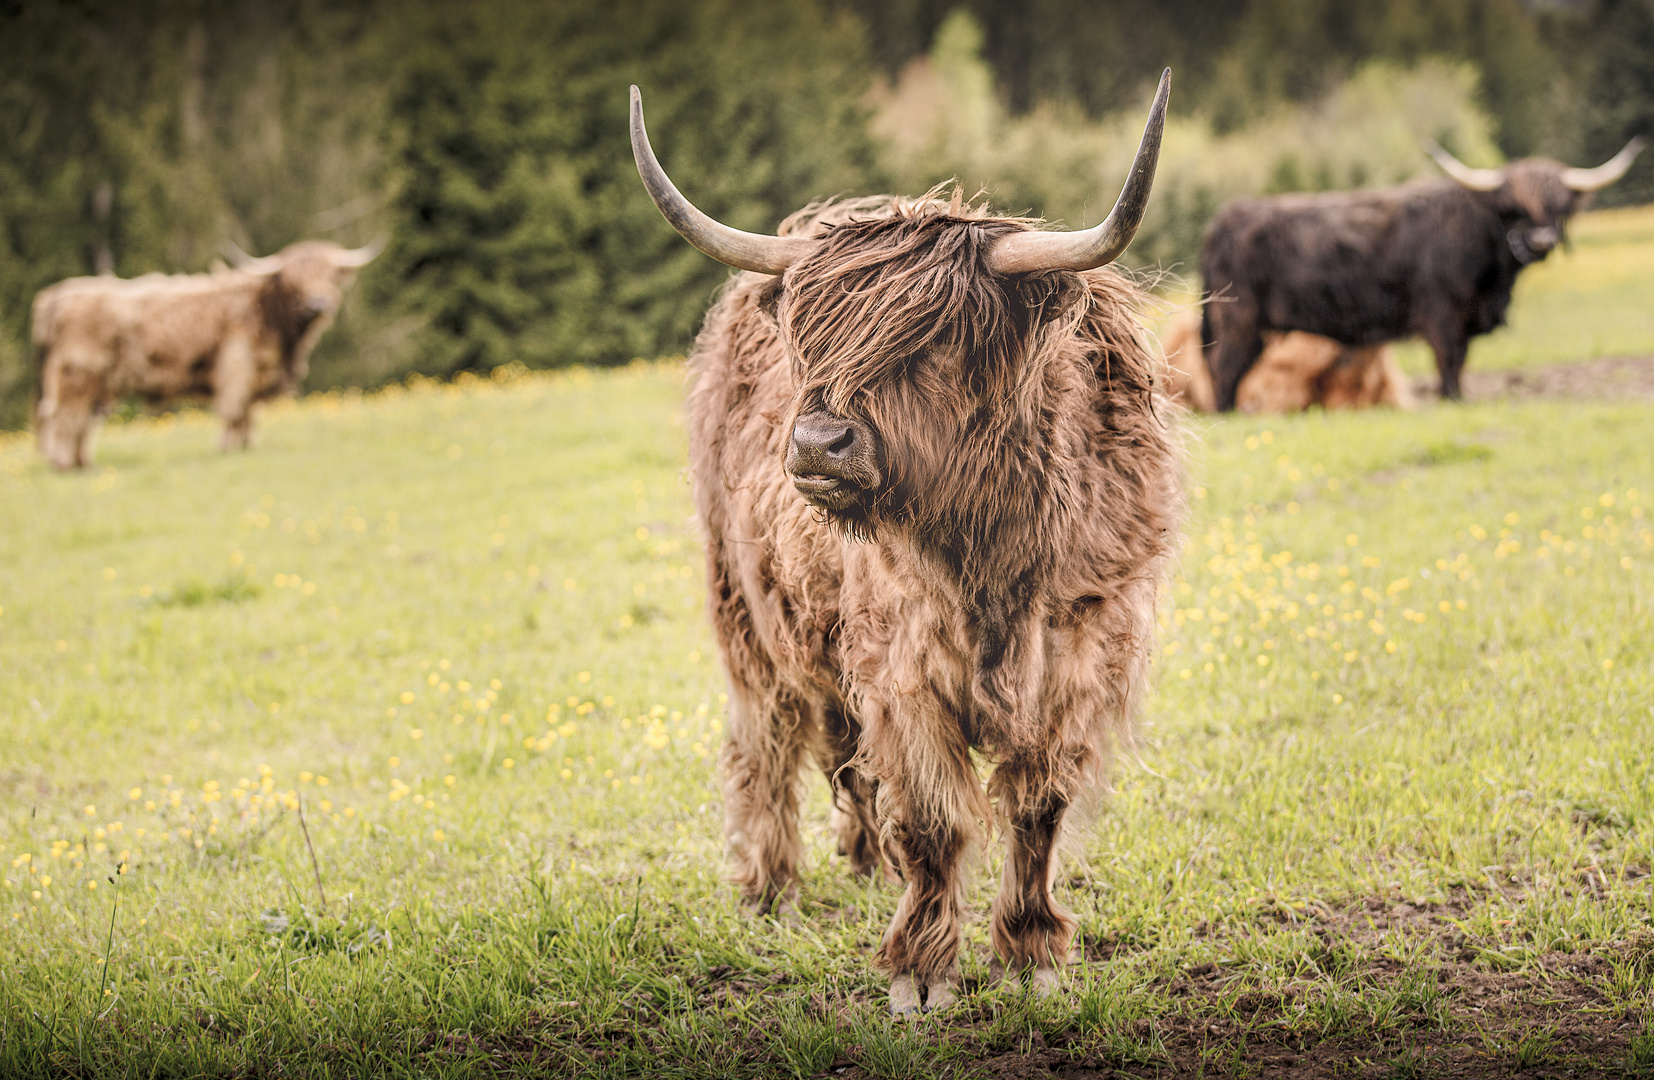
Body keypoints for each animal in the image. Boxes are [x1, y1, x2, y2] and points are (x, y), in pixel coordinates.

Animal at [30, 239, 378, 466]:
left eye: (331, 275)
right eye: (294, 281)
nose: (318, 303)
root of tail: (54, 298)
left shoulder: (256, 374)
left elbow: (248, 413)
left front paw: (247, 447)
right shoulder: (237, 365)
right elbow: (234, 409)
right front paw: (227, 449)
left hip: (91, 383)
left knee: (77, 421)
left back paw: (82, 463)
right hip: (78, 374)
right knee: (63, 418)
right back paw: (64, 466)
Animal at [625, 77, 1184, 1012]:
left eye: (936, 341)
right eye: (811, 341)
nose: (818, 444)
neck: (992, 551)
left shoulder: (1083, 649)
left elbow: (1038, 805)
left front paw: (1033, 955)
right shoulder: (904, 660)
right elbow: (934, 816)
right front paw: (921, 975)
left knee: (842, 751)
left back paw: (863, 864)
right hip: (745, 614)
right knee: (765, 741)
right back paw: (769, 890)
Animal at [1204, 134, 1640, 403]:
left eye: (1560, 207)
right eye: (1514, 208)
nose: (1542, 242)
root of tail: (1223, 219)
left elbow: (1460, 361)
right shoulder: (1443, 314)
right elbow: (1449, 360)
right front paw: (1452, 399)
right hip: (1239, 320)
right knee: (1225, 369)